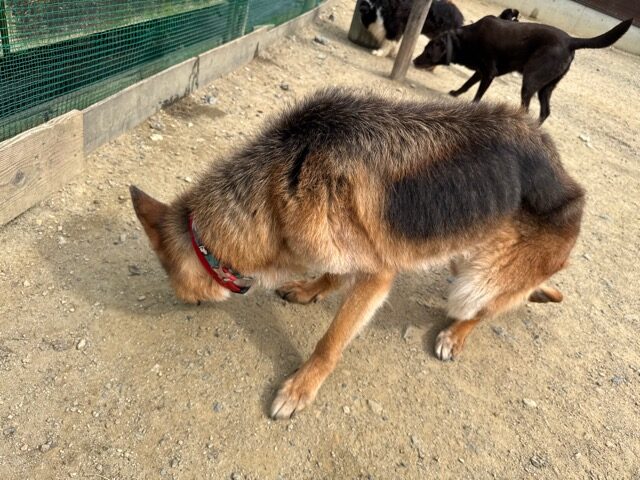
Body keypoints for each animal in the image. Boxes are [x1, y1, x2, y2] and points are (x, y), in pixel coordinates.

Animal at [130, 88, 584, 419]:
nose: (182, 305)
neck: (279, 184)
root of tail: (567, 175)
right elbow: (332, 272)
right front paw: (311, 289)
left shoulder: (377, 277)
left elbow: (329, 342)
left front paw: (301, 387)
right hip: (461, 244)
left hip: (481, 279)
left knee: (484, 308)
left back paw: (456, 334)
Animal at [413, 16, 632, 123]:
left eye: (427, 50)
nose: (414, 61)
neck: (464, 40)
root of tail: (571, 40)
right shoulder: (482, 71)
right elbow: (467, 84)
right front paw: (456, 93)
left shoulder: (489, 73)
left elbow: (477, 94)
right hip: (546, 88)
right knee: (545, 112)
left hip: (531, 81)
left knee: (527, 108)